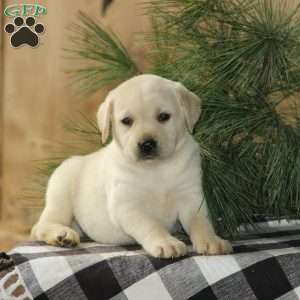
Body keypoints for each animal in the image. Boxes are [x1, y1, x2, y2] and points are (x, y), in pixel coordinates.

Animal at [31, 74, 232, 258]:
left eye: (164, 116)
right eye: (127, 121)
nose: (147, 144)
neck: (156, 168)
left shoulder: (191, 196)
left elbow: (200, 221)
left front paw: (211, 240)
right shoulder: (128, 205)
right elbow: (151, 225)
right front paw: (166, 242)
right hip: (60, 194)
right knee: (40, 226)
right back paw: (62, 235)